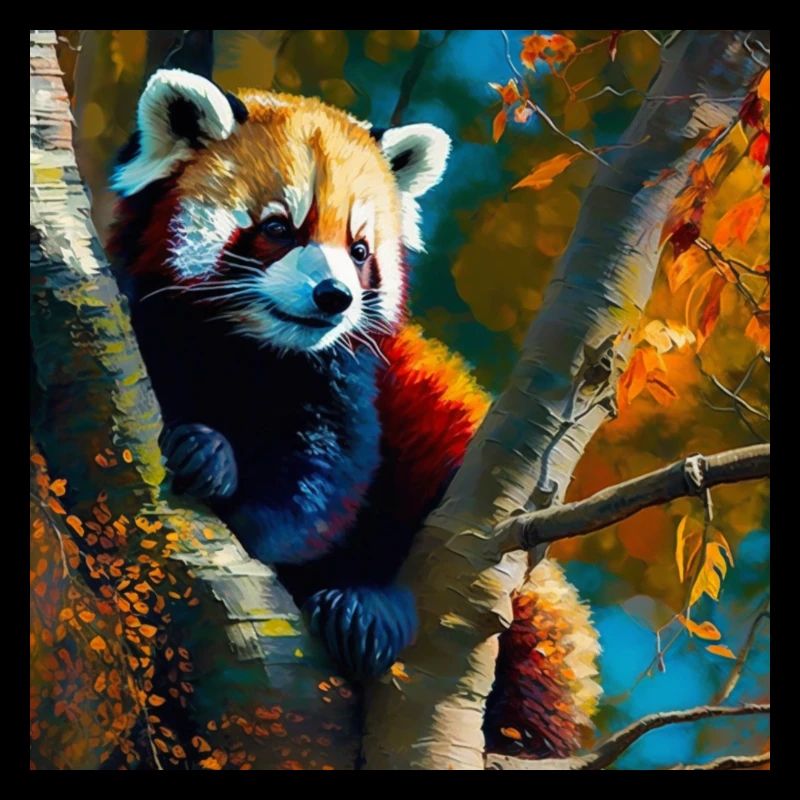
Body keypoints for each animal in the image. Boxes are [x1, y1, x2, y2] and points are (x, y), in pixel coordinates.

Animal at [108, 68, 601, 759]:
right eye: (278, 228)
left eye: (360, 249)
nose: (333, 296)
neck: (247, 350)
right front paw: (207, 452)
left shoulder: (348, 382)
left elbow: (322, 489)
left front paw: (238, 500)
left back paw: (371, 611)